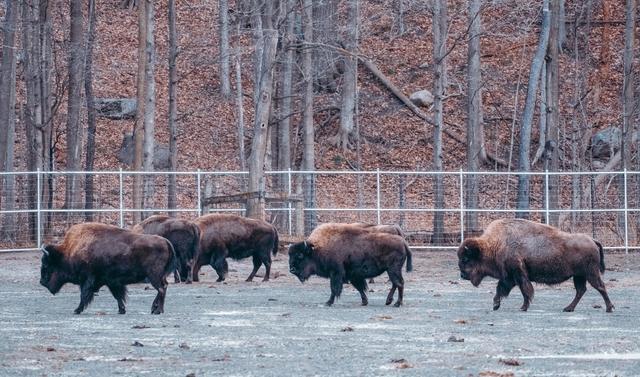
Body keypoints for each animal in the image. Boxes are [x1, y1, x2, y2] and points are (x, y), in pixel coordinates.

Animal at [39, 222, 175, 312]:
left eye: (46, 264)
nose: (42, 282)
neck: (69, 251)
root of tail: (165, 241)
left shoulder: (88, 280)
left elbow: (84, 295)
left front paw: (77, 310)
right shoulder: (111, 282)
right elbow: (118, 296)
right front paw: (121, 310)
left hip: (153, 275)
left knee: (161, 289)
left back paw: (157, 310)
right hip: (159, 276)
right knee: (164, 287)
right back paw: (155, 309)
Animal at [458, 217, 612, 312]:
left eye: (466, 259)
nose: (462, 275)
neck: (495, 244)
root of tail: (592, 240)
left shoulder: (518, 274)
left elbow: (525, 290)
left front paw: (523, 307)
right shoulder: (509, 276)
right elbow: (501, 289)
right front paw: (496, 305)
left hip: (590, 273)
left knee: (600, 287)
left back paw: (609, 308)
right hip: (579, 276)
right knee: (581, 290)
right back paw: (568, 308)